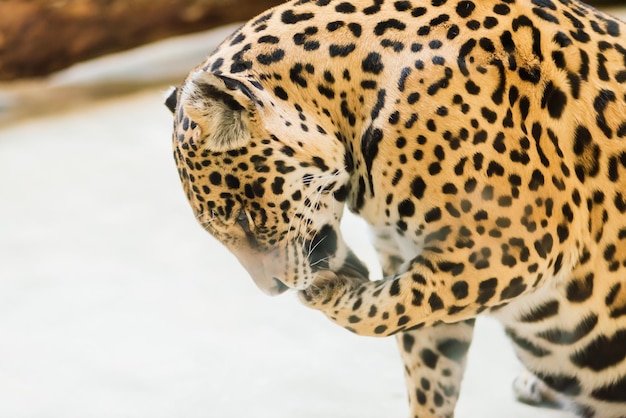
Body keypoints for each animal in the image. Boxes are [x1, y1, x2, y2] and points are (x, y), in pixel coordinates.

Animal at [163, 1, 624, 416]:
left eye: (244, 217)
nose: (271, 290)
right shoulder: (418, 258)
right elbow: (423, 358)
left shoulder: (521, 245)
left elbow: (390, 308)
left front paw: (328, 294)